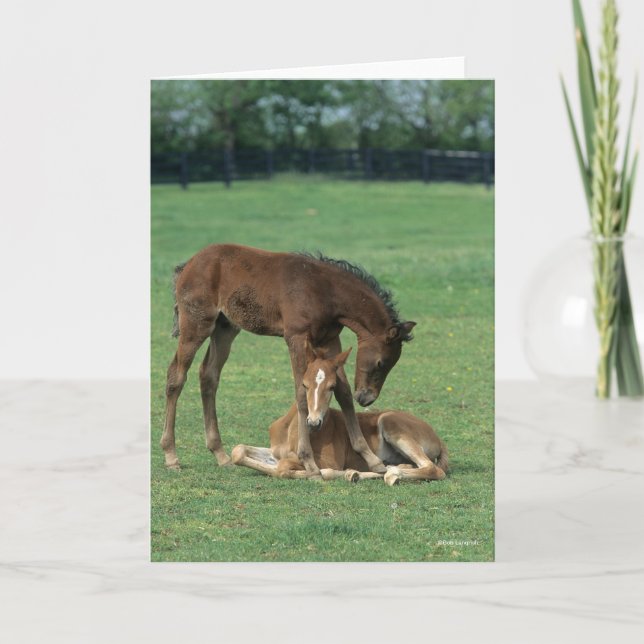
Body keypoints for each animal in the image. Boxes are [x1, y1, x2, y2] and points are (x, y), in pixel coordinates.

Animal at [161, 244, 416, 475]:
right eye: (381, 363)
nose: (366, 398)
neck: (325, 291)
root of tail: (188, 265)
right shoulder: (296, 337)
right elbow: (302, 394)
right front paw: (309, 462)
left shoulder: (330, 340)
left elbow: (343, 393)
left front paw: (372, 460)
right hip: (197, 324)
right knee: (176, 376)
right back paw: (171, 456)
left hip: (225, 328)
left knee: (209, 375)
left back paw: (220, 454)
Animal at [230, 344, 448, 485]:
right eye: (304, 384)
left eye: (332, 386)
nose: (314, 422)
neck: (291, 430)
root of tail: (438, 438)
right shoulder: (275, 452)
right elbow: (239, 452)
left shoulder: (327, 461)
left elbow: (285, 467)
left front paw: (328, 473)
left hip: (390, 422)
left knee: (432, 468)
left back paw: (388, 474)